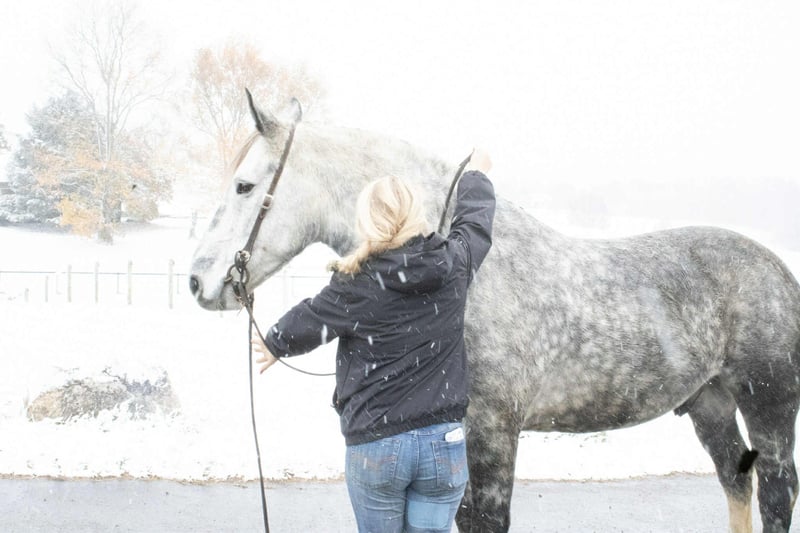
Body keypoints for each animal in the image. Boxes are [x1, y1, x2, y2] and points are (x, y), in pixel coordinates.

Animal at [189, 93, 800, 533]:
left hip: (769, 406)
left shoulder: (492, 431)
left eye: (244, 185)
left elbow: (486, 518)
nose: (199, 280)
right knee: (736, 482)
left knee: (775, 491)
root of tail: (779, 269)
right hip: (710, 404)